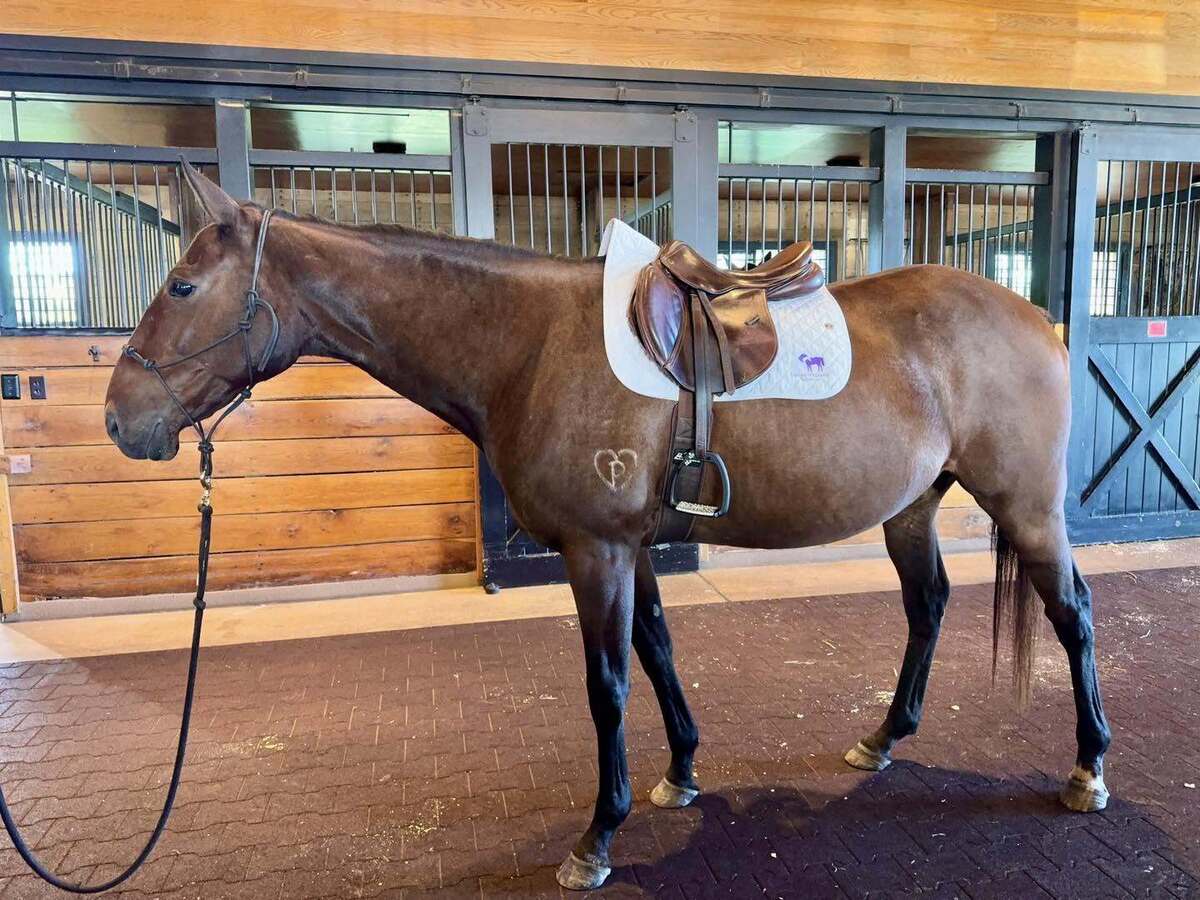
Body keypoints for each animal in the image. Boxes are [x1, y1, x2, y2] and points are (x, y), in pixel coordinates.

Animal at [104, 163, 1111, 891]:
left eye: (183, 285)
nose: (120, 420)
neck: (529, 346)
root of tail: (1033, 317)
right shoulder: (633, 552)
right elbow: (658, 651)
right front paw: (682, 773)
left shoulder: (598, 554)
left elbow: (607, 685)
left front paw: (599, 835)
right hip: (914, 508)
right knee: (929, 607)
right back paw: (884, 737)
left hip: (1026, 508)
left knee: (1072, 616)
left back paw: (1087, 769)